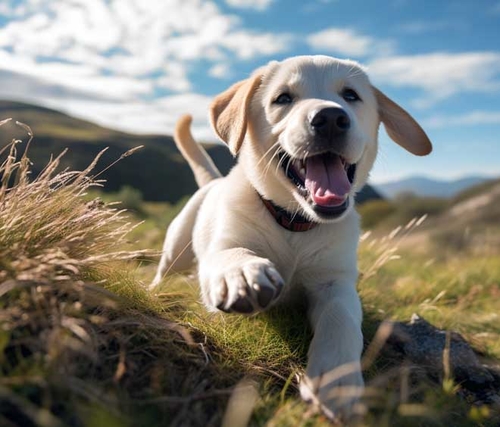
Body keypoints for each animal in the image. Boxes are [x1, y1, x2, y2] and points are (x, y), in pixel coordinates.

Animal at [150, 54, 432, 422]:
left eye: (351, 95)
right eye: (283, 98)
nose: (330, 118)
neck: (295, 224)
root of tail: (212, 182)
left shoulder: (335, 282)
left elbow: (342, 319)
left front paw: (337, 380)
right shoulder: (222, 246)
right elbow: (231, 253)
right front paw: (243, 272)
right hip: (177, 249)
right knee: (164, 271)